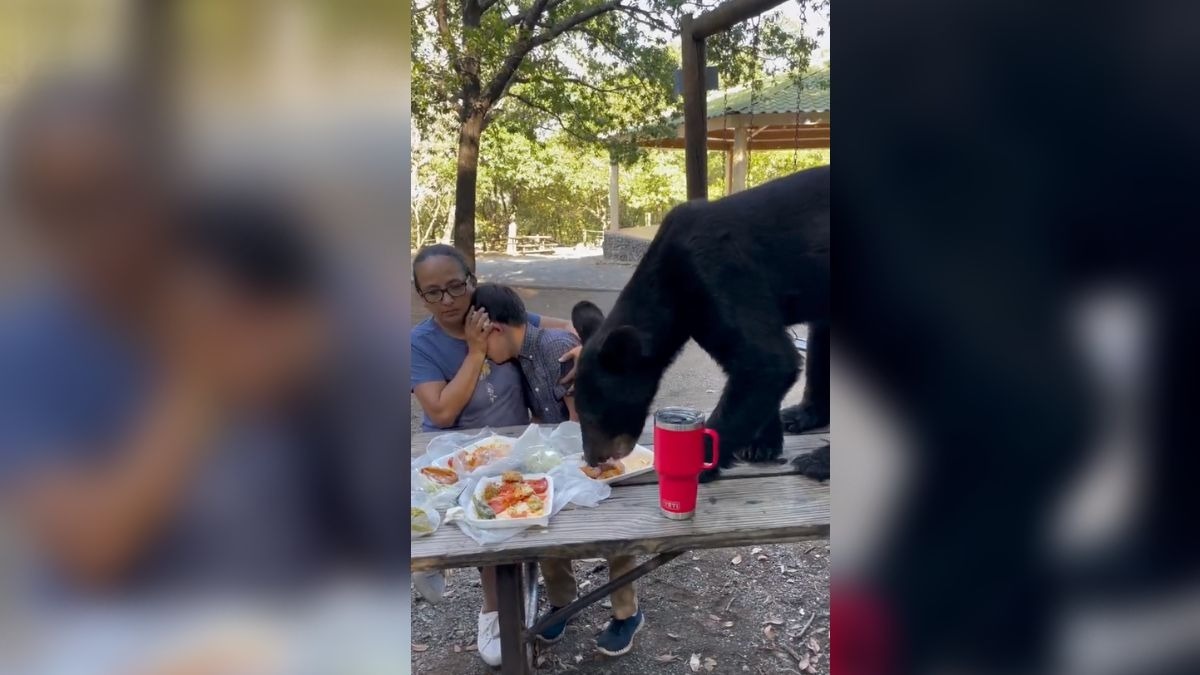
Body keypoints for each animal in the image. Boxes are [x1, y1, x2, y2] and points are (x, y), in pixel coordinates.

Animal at [568, 164, 825, 478]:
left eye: (595, 414)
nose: (593, 459)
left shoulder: (719, 272)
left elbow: (767, 361)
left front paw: (698, 462)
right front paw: (762, 444)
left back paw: (818, 460)